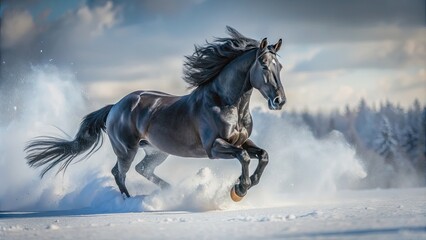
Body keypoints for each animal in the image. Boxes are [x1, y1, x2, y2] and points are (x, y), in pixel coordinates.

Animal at [26, 27, 286, 202]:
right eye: (264, 65)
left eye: (280, 67)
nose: (279, 101)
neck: (225, 103)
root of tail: (115, 106)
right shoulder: (214, 147)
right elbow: (244, 157)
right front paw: (238, 189)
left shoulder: (242, 140)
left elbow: (262, 155)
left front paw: (247, 184)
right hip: (126, 150)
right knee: (119, 173)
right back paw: (129, 201)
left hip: (156, 150)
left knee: (143, 169)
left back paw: (170, 192)